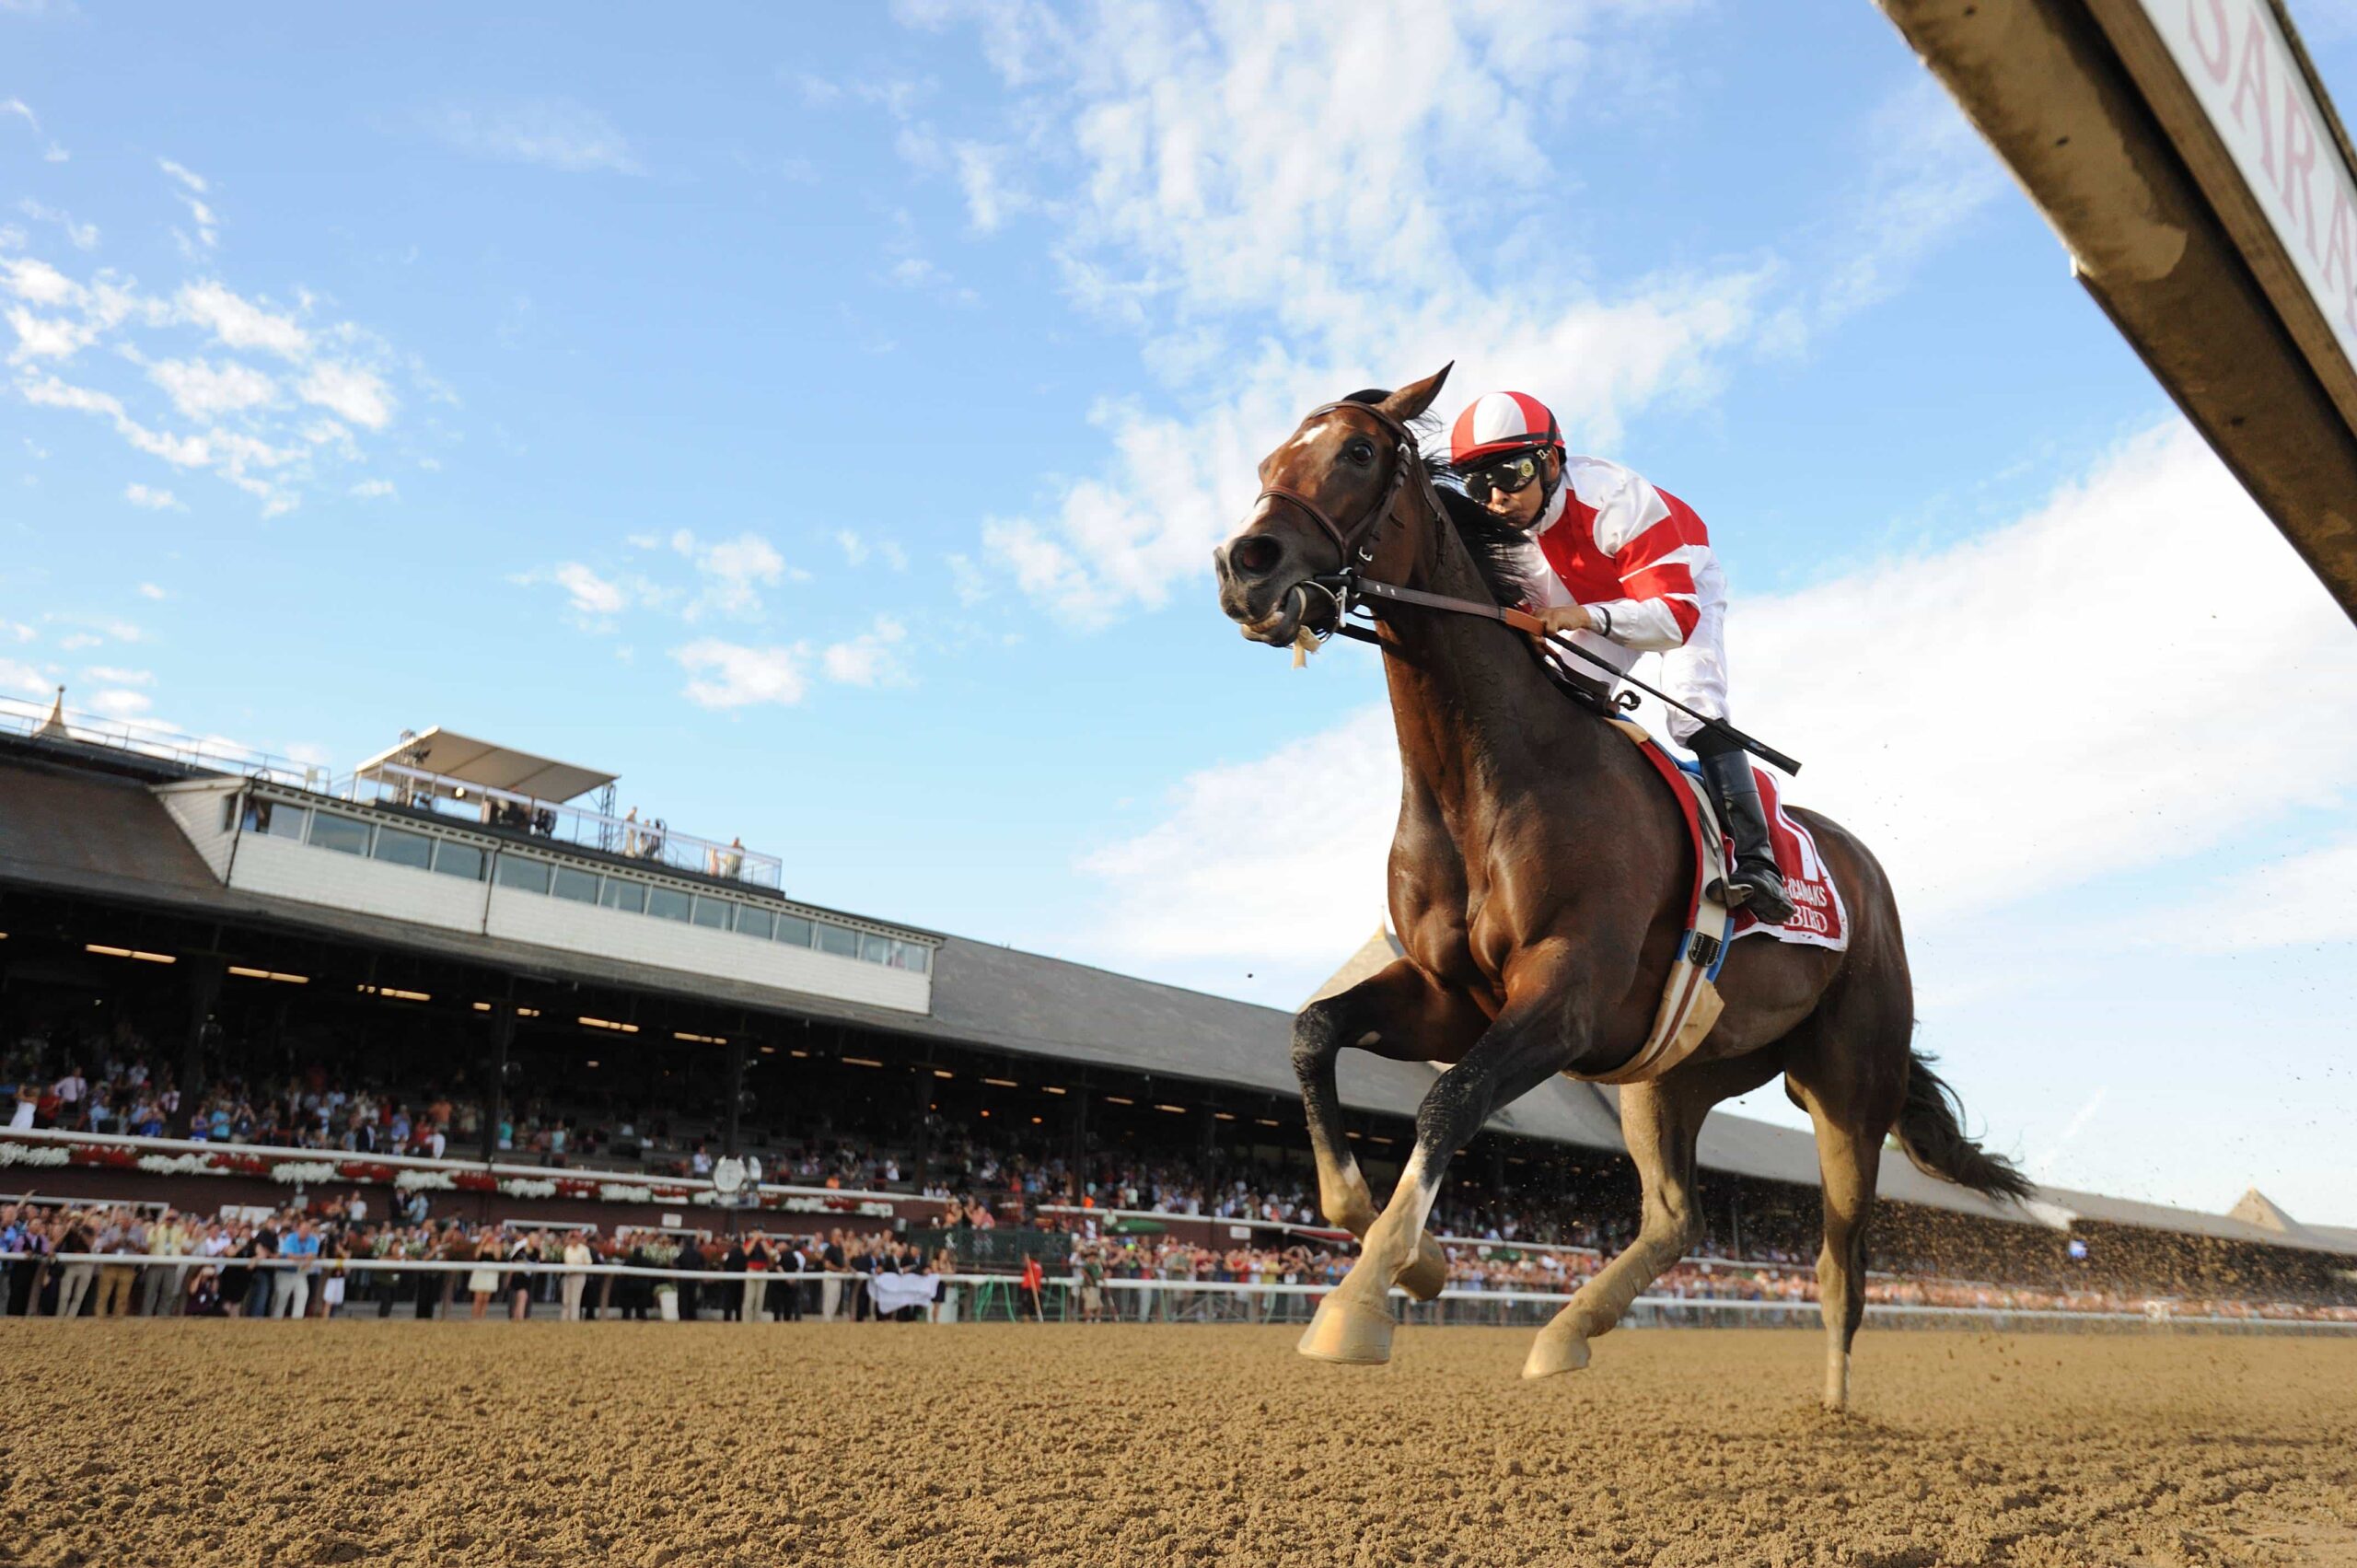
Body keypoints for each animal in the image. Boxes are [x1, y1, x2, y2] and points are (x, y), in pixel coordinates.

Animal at [1215, 363, 2026, 1405]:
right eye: (1268, 462)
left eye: (1356, 451)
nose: (1245, 564)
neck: (1493, 774)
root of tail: (1864, 877)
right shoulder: (1451, 996)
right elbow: (1314, 1032)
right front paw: (1415, 1257)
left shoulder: (1566, 993)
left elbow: (1448, 1102)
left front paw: (1359, 1299)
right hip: (1672, 1073)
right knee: (1678, 1217)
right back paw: (1566, 1328)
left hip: (1850, 1085)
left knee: (1841, 1260)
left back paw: (1834, 1409)